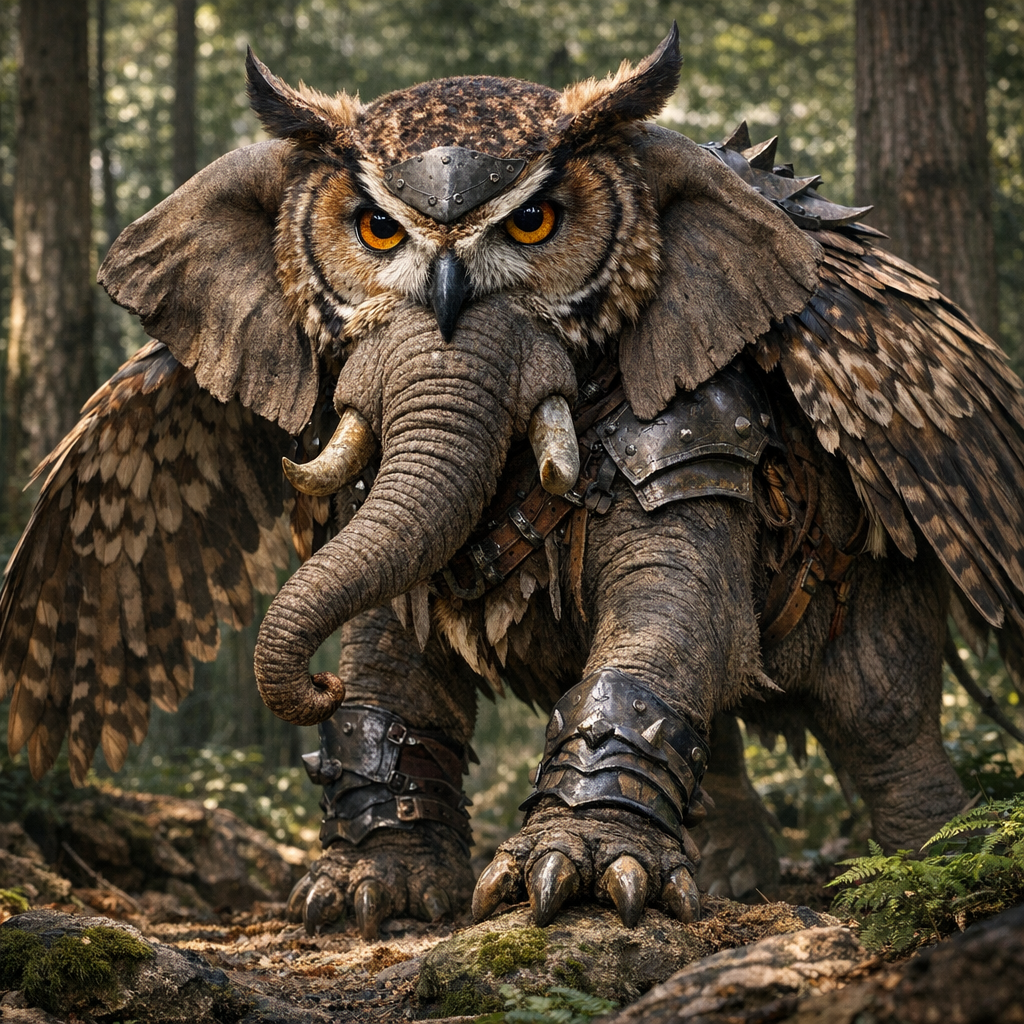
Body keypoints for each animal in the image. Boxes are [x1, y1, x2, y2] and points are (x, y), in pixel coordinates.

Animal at [2, 27, 1023, 940]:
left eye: (533, 221)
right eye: (377, 229)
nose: (314, 690)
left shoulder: (695, 425)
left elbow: (669, 622)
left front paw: (580, 868)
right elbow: (393, 658)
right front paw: (375, 885)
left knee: (881, 720)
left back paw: (942, 869)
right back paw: (737, 877)